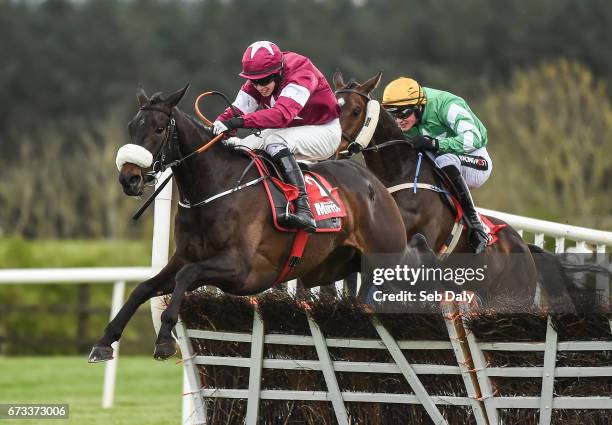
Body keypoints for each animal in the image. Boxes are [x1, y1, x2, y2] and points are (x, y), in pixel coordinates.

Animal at [88, 83, 420, 362]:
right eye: (132, 127)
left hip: (384, 258)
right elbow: (143, 288)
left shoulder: (242, 269)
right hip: (336, 265)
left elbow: (186, 277)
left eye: (158, 129)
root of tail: (374, 183)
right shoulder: (184, 257)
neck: (213, 188)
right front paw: (105, 341)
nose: (129, 178)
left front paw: (165, 338)